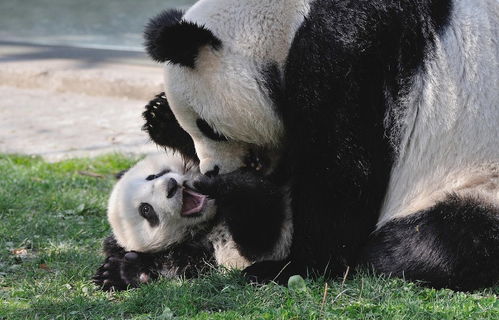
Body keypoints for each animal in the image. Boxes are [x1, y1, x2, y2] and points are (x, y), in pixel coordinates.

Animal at [143, 0, 498, 290]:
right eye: (193, 130)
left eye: (209, 128)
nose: (212, 170)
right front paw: (160, 117)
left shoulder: (345, 51)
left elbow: (338, 172)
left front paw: (291, 267)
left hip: (475, 179)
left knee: (441, 240)